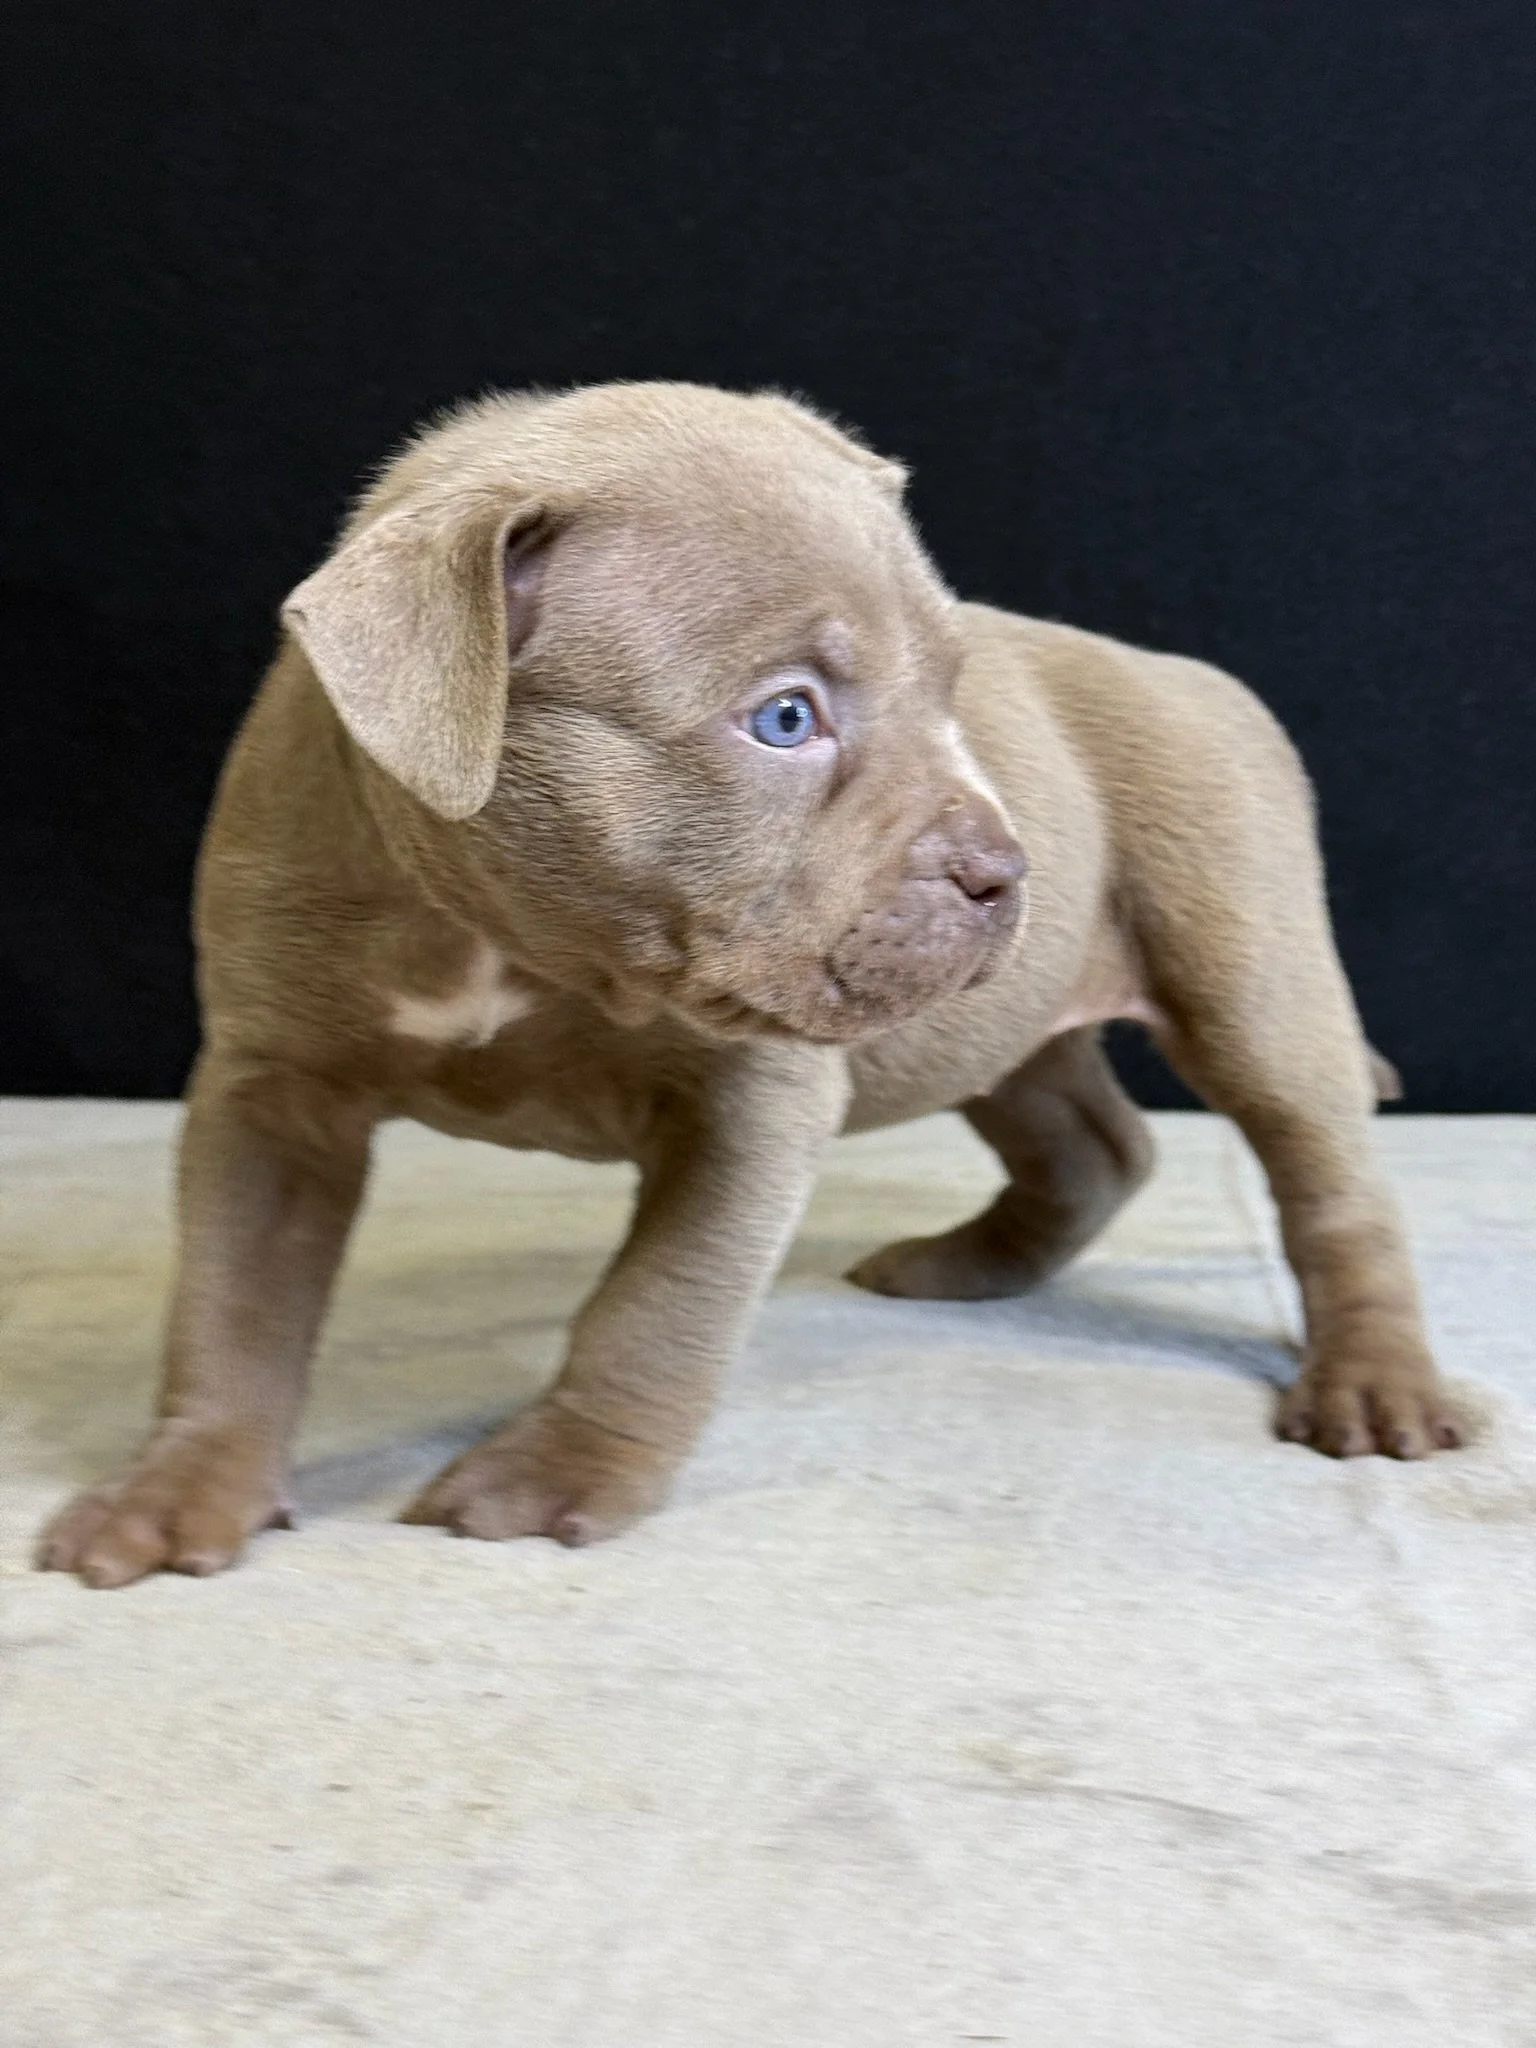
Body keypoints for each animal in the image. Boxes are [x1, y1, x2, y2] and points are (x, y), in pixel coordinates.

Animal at [39, 382, 1459, 1587]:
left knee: (1329, 1181)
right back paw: (965, 1264)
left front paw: (556, 1473)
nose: (1005, 869)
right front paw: (179, 1486)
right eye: (786, 717)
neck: (506, 938)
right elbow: (233, 1297)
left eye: (954, 696)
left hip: (1253, 978)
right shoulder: (274, 1091)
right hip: (992, 1021)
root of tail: (1194, 675)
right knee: (1095, 1141)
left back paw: (1375, 1383)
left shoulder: (750, 1099)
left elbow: (658, 1302)